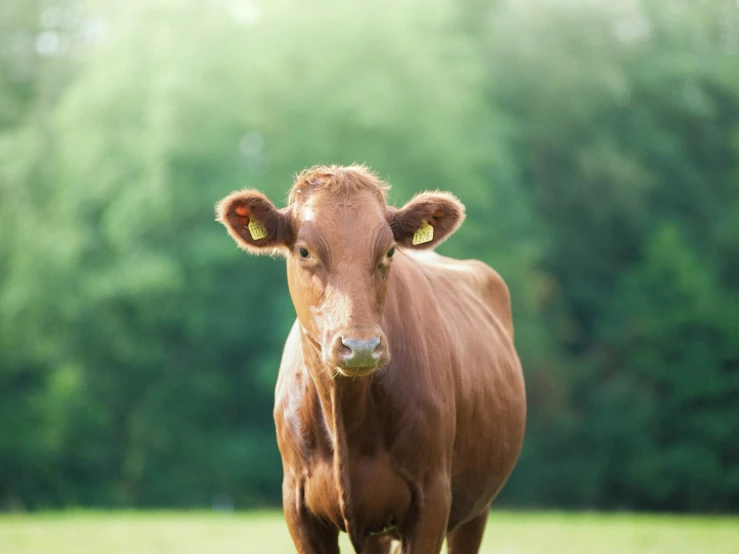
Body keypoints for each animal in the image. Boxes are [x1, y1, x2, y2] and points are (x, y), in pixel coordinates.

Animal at [217, 165, 528, 552]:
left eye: (390, 250)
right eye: (304, 251)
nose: (361, 346)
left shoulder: (432, 499)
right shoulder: (298, 506)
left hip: (475, 508)